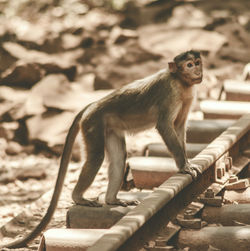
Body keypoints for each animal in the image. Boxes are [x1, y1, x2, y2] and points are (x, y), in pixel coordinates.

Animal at [1, 50, 203, 248]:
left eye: (197, 62)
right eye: (189, 65)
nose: (197, 71)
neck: (181, 82)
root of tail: (93, 104)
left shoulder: (188, 96)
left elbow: (178, 126)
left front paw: (187, 162)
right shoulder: (170, 92)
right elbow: (165, 126)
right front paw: (184, 166)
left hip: (110, 127)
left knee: (119, 158)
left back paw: (112, 200)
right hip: (93, 123)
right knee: (96, 157)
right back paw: (79, 198)